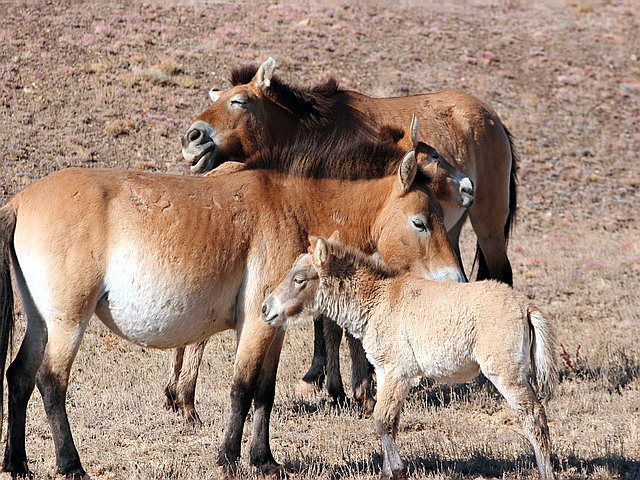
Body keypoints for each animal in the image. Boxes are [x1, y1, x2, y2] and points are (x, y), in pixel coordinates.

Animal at [0, 142, 462, 476]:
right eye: (420, 222)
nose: (455, 281)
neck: (293, 207)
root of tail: (20, 201)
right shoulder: (256, 324)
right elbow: (241, 389)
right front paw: (228, 458)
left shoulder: (272, 327)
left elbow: (264, 393)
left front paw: (264, 460)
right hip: (67, 323)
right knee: (50, 382)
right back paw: (70, 465)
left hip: (42, 322)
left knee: (19, 376)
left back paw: (17, 463)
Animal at [262, 235, 556, 480]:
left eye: (299, 279)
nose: (266, 308)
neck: (379, 300)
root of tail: (526, 306)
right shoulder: (384, 372)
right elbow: (389, 421)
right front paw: (386, 472)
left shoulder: (398, 371)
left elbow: (381, 420)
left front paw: (398, 470)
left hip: (506, 373)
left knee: (534, 417)